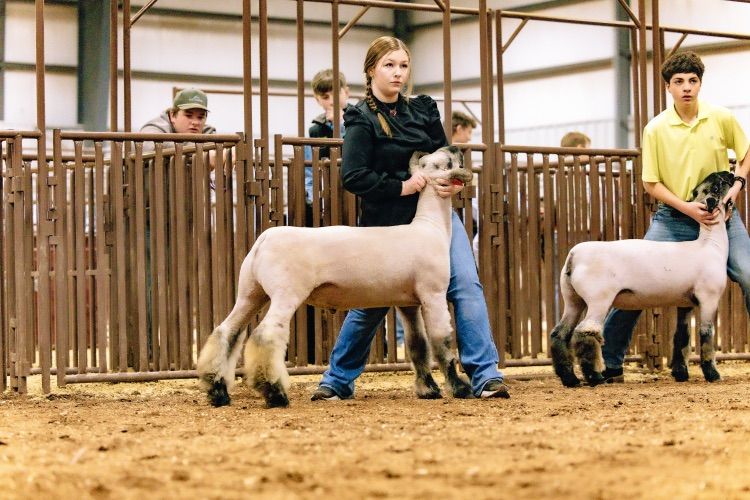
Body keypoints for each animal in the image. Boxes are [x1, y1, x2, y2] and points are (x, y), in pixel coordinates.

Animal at [196, 145, 475, 408]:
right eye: (445, 162)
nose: (454, 148)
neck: (431, 226)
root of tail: (264, 239)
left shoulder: (408, 303)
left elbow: (418, 346)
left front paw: (428, 389)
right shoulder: (433, 293)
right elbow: (441, 342)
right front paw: (460, 387)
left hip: (251, 292)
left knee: (226, 332)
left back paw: (218, 390)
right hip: (286, 292)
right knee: (266, 335)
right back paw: (275, 393)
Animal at [550, 171, 735, 387]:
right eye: (717, 186)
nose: (730, 173)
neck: (709, 245)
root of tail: (574, 255)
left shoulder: (685, 302)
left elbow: (682, 336)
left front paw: (681, 373)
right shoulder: (709, 298)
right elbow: (706, 335)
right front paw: (712, 374)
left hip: (572, 299)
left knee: (559, 334)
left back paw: (569, 378)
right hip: (598, 299)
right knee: (584, 333)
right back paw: (595, 377)